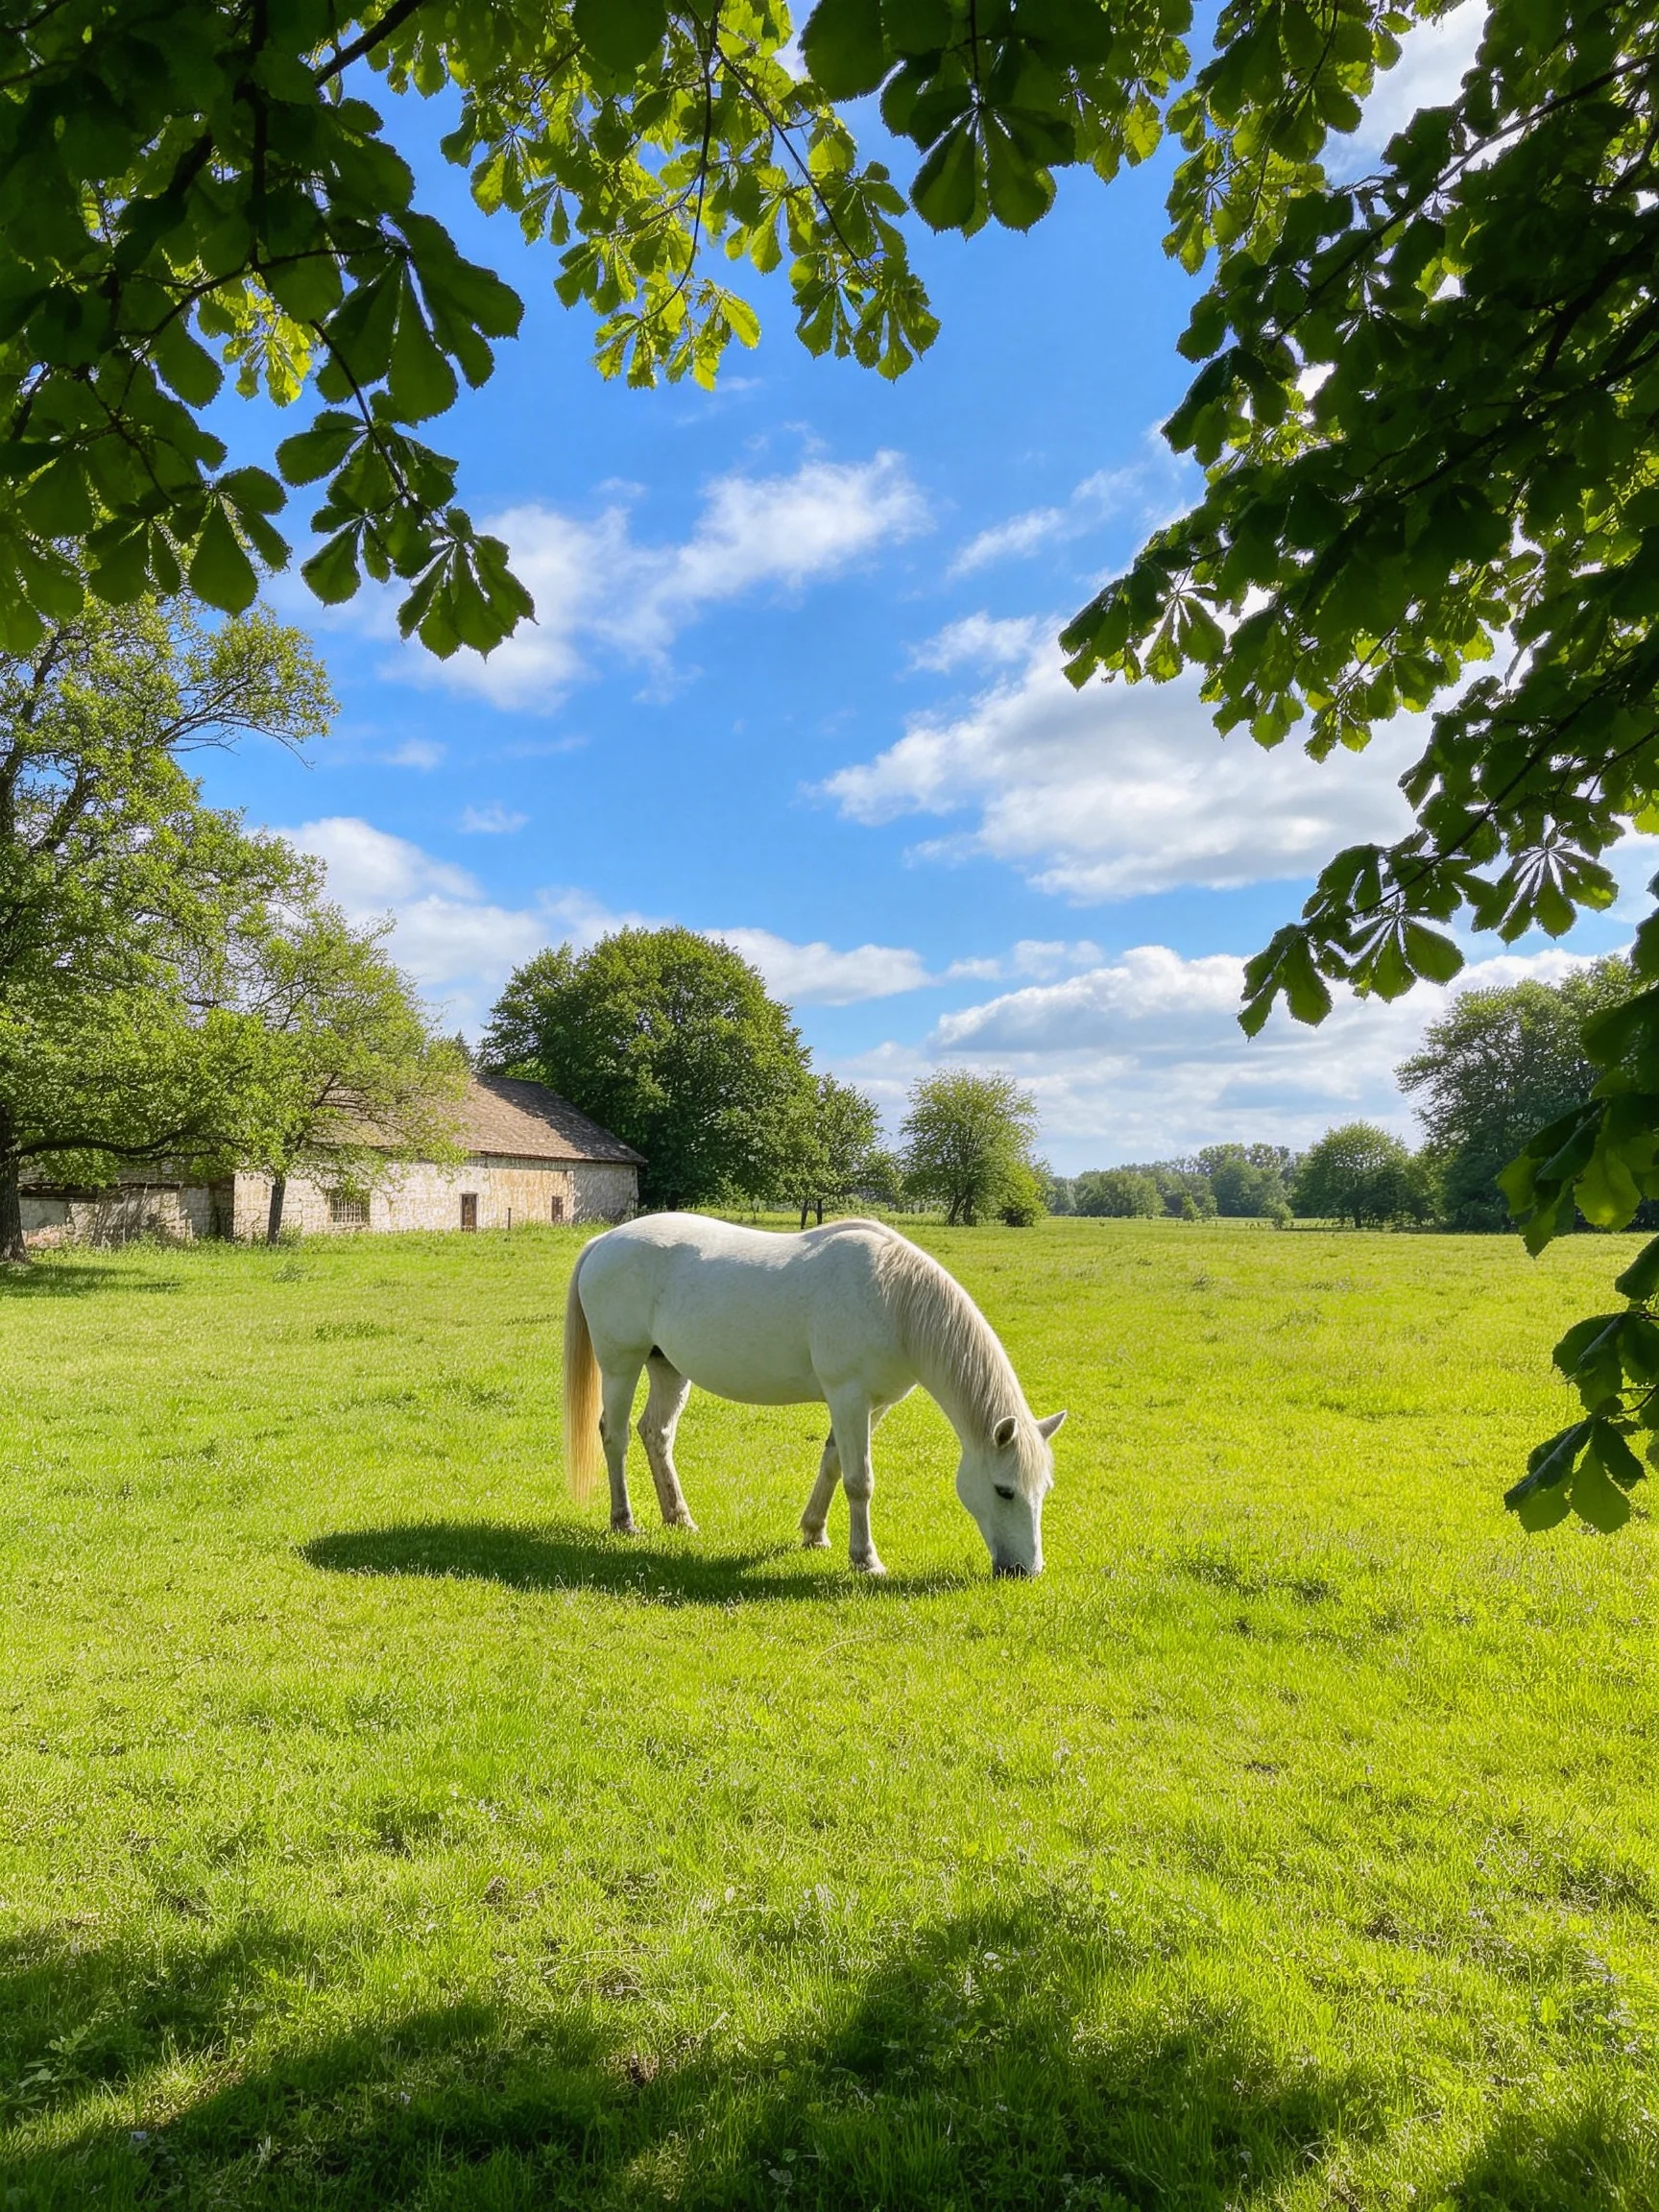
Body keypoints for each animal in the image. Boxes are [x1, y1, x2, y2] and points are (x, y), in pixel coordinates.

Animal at [562, 1213, 1065, 1577]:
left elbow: (833, 1464)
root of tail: (604, 1241)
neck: (894, 1300)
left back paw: (679, 1517)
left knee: (657, 1434)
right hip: (621, 1364)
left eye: (1042, 1490)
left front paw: (814, 1534)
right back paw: (624, 1521)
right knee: (616, 1436)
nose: (1025, 1571)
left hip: (667, 1366)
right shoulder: (849, 1397)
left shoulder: (872, 1405)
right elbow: (859, 1480)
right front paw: (866, 1560)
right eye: (1004, 1491)